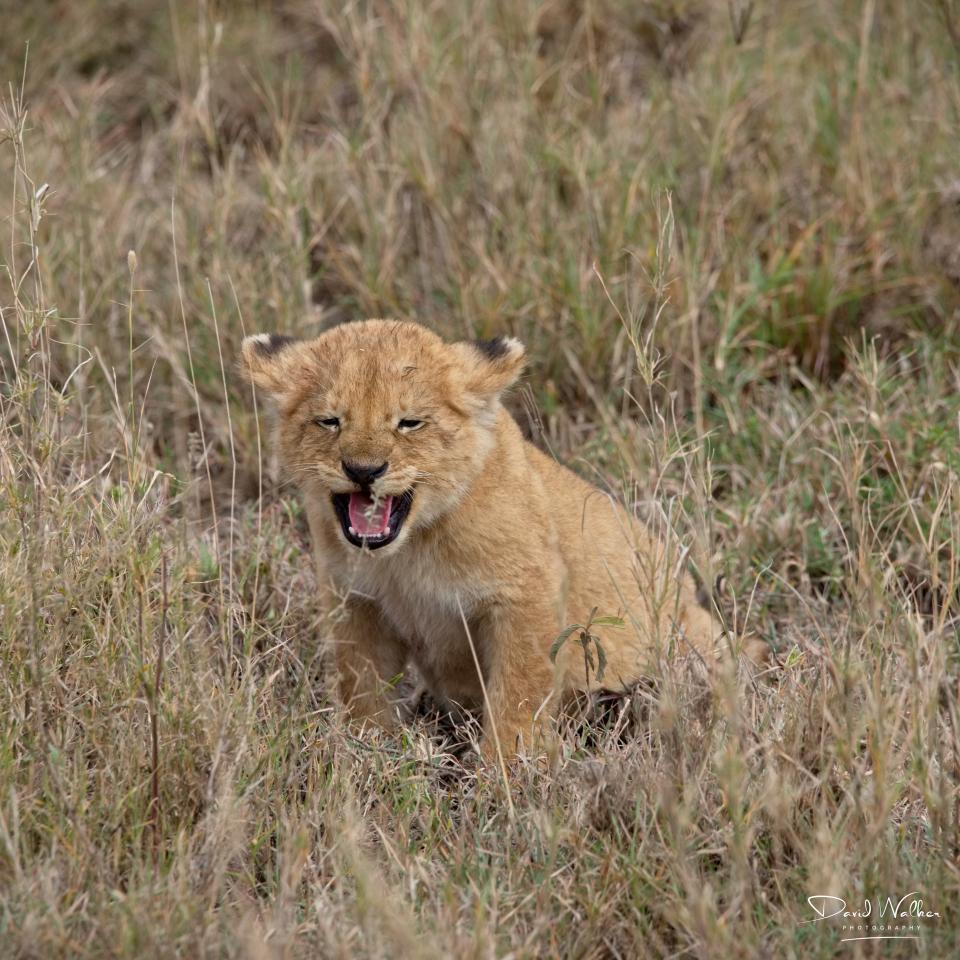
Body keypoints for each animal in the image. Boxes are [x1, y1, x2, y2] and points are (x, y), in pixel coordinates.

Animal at [242, 319, 750, 761]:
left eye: (409, 423)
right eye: (329, 421)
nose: (363, 471)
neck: (409, 551)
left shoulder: (529, 595)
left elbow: (519, 693)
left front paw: (503, 773)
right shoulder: (356, 601)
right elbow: (361, 684)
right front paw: (364, 751)